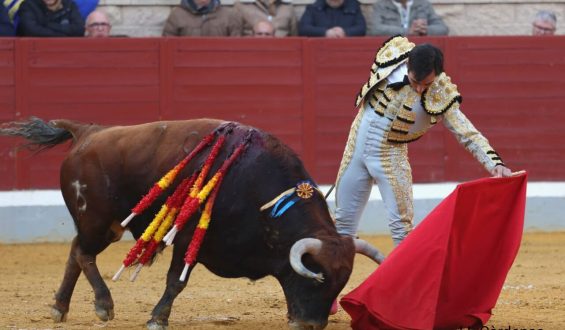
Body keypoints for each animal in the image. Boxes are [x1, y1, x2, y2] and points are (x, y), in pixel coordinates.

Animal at [0, 117, 384, 328]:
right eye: (315, 278)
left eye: (341, 284)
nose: (310, 324)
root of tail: (87, 132)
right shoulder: (187, 239)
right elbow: (176, 282)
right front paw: (157, 318)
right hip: (97, 219)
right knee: (83, 253)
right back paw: (103, 305)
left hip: (106, 225)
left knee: (75, 252)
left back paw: (59, 308)